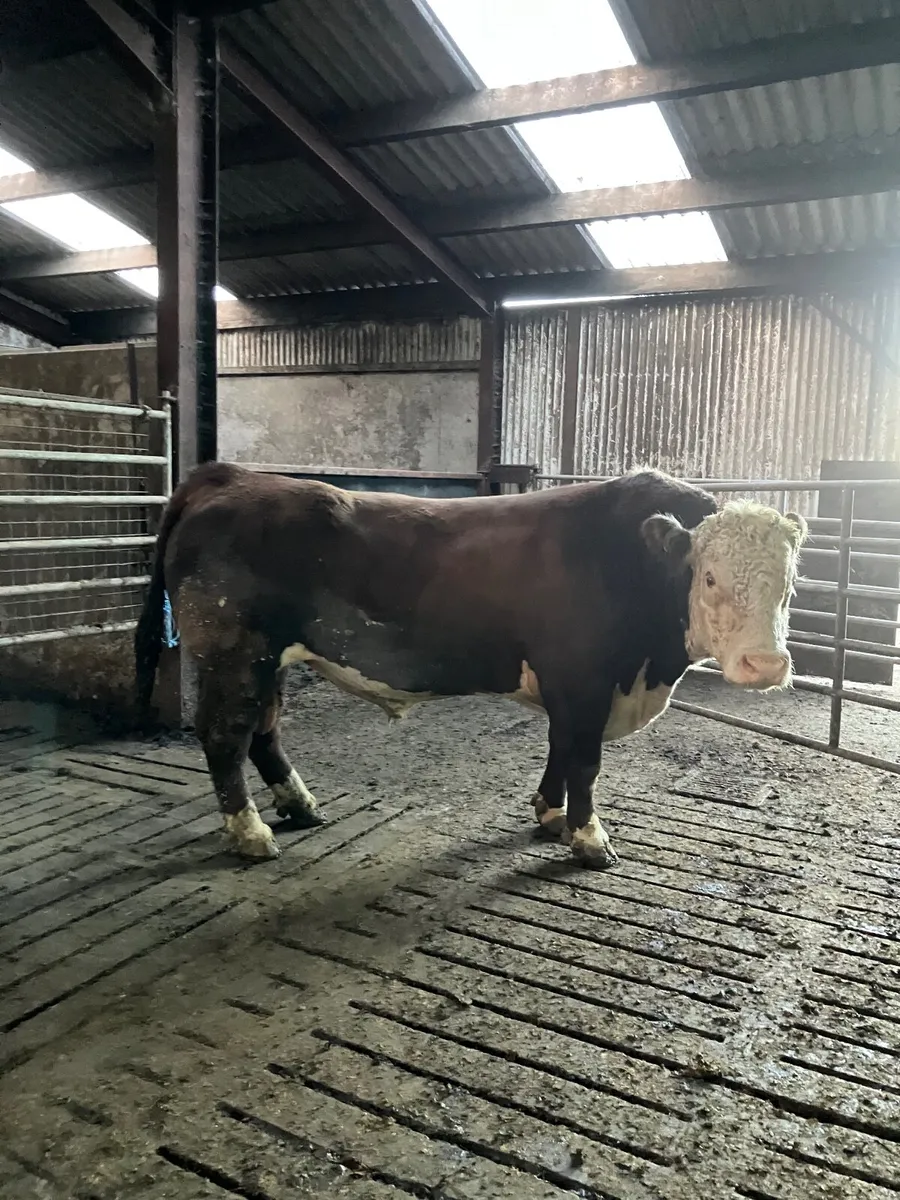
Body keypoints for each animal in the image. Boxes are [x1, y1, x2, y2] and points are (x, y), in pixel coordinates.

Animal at [135, 462, 806, 869]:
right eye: (710, 577)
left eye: (790, 584)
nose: (765, 663)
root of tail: (231, 476)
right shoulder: (583, 678)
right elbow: (584, 761)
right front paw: (590, 839)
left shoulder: (570, 688)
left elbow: (560, 749)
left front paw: (550, 814)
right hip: (232, 652)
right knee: (225, 735)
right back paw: (251, 833)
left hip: (267, 659)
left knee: (263, 731)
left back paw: (299, 805)